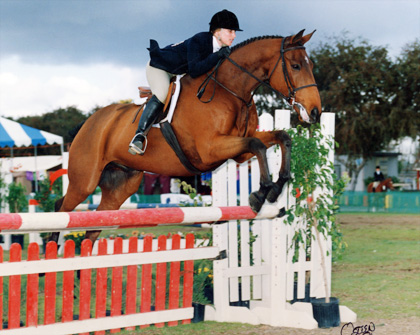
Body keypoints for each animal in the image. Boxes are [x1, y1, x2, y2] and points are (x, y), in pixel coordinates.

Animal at [51, 30, 322, 247]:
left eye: (310, 65)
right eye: (296, 66)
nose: (315, 112)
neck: (229, 91)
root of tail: (89, 122)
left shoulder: (239, 151)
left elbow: (281, 137)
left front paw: (276, 188)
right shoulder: (210, 150)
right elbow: (257, 145)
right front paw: (261, 193)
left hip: (121, 186)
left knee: (92, 228)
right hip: (85, 181)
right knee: (62, 208)